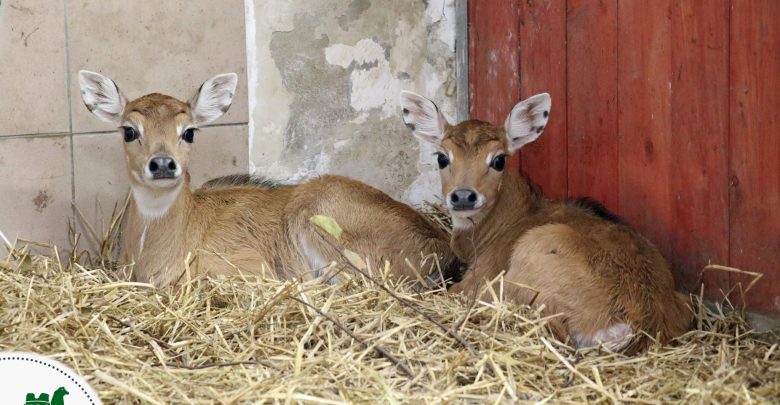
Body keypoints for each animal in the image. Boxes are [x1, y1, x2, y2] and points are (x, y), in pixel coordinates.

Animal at [400, 90, 692, 348]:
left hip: (528, 262)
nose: (463, 196)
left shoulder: (480, 278)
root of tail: (633, 325)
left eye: (498, 160)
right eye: (441, 157)